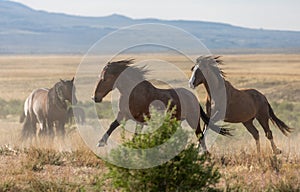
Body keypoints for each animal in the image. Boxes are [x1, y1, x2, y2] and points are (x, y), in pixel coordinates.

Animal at [92, 59, 231, 149]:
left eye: (105, 78)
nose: (95, 97)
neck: (132, 92)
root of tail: (193, 98)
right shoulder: (124, 115)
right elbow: (112, 125)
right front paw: (101, 142)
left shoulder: (140, 119)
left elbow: (135, 135)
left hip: (193, 120)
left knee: (200, 135)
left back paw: (203, 154)